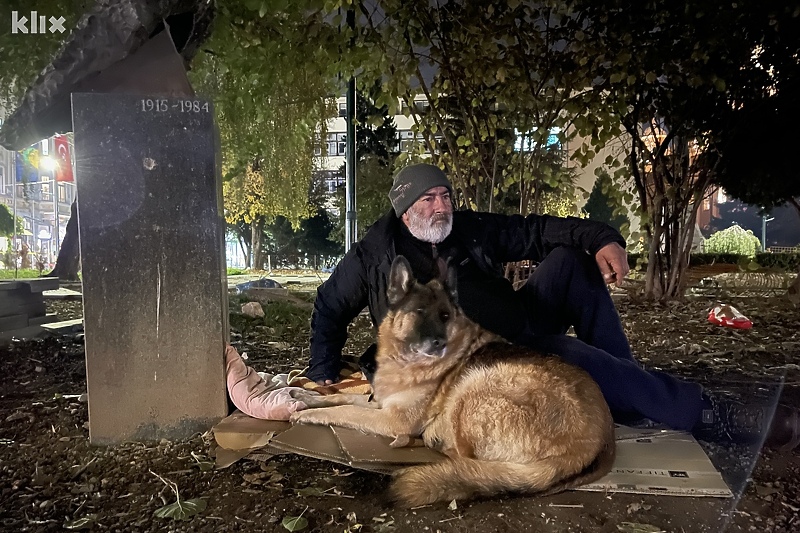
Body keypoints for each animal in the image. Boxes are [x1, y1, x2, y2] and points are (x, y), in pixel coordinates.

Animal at [290, 256, 616, 504]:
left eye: (445, 316)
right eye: (419, 312)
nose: (439, 344)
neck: (404, 361)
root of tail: (597, 441)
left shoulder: (394, 419)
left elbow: (344, 410)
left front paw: (310, 414)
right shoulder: (381, 403)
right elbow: (344, 397)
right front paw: (305, 397)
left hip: (474, 389)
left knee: (465, 460)